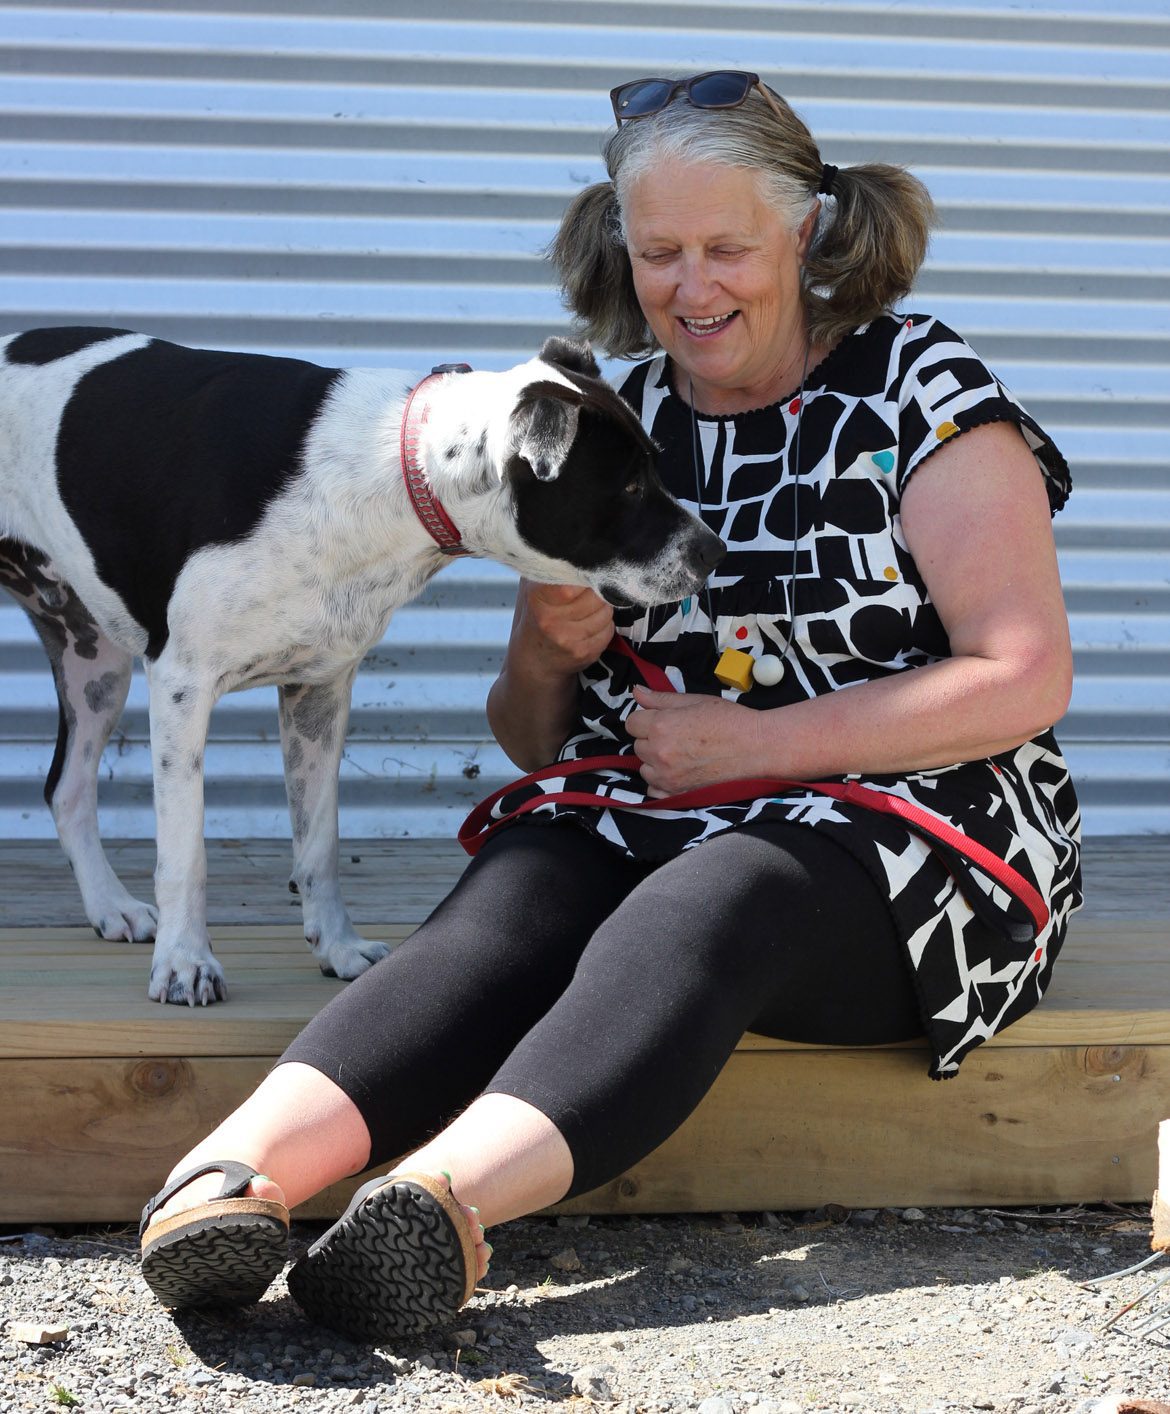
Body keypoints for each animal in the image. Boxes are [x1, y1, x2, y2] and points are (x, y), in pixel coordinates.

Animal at [0, 326, 725, 1005]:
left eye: (656, 468)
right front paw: (184, 964)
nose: (712, 552)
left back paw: (110, 907)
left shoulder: (317, 692)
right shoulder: (182, 684)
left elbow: (319, 841)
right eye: (627, 485)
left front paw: (337, 948)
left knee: (66, 788)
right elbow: (185, 850)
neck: (401, 472)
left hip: (94, 661)